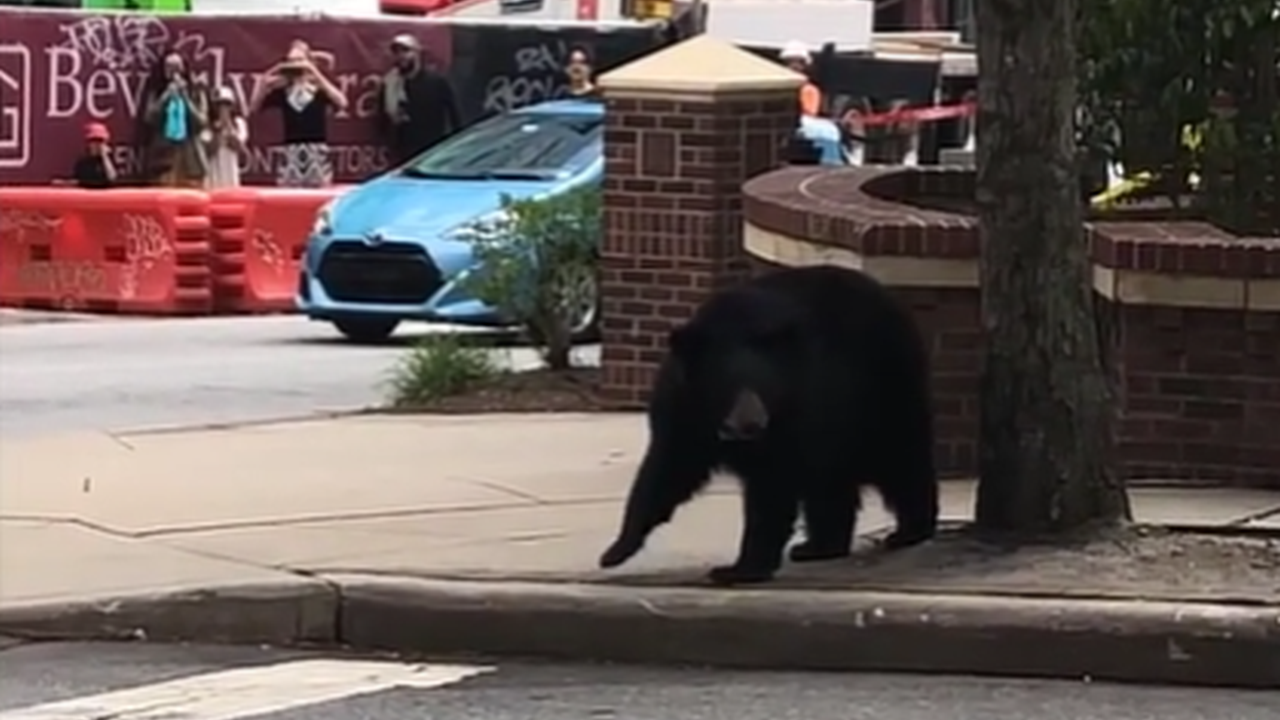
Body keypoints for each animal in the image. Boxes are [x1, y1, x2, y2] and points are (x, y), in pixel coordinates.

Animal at [598, 264, 939, 586]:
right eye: (728, 385)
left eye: (765, 386)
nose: (750, 423)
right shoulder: (685, 409)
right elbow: (669, 469)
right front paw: (615, 550)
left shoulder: (795, 408)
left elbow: (772, 485)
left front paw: (738, 569)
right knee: (829, 480)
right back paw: (818, 547)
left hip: (880, 390)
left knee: (900, 457)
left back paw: (909, 530)